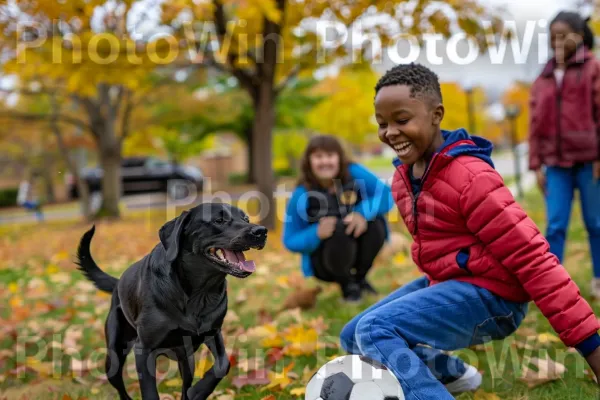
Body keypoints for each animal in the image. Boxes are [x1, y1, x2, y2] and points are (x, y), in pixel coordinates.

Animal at [77, 203, 268, 400]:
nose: (261, 231)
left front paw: (198, 391)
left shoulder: (213, 332)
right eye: (219, 220)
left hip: (187, 360)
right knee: (118, 383)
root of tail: (118, 284)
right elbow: (150, 392)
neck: (199, 294)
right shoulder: (144, 349)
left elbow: (223, 364)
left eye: (246, 219)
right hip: (115, 352)